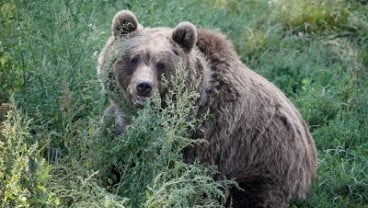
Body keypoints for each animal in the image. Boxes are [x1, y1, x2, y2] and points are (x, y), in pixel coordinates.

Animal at [97, 9, 316, 208]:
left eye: (161, 65)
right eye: (133, 58)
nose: (144, 86)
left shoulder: (205, 134)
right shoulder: (119, 121)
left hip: (265, 166)